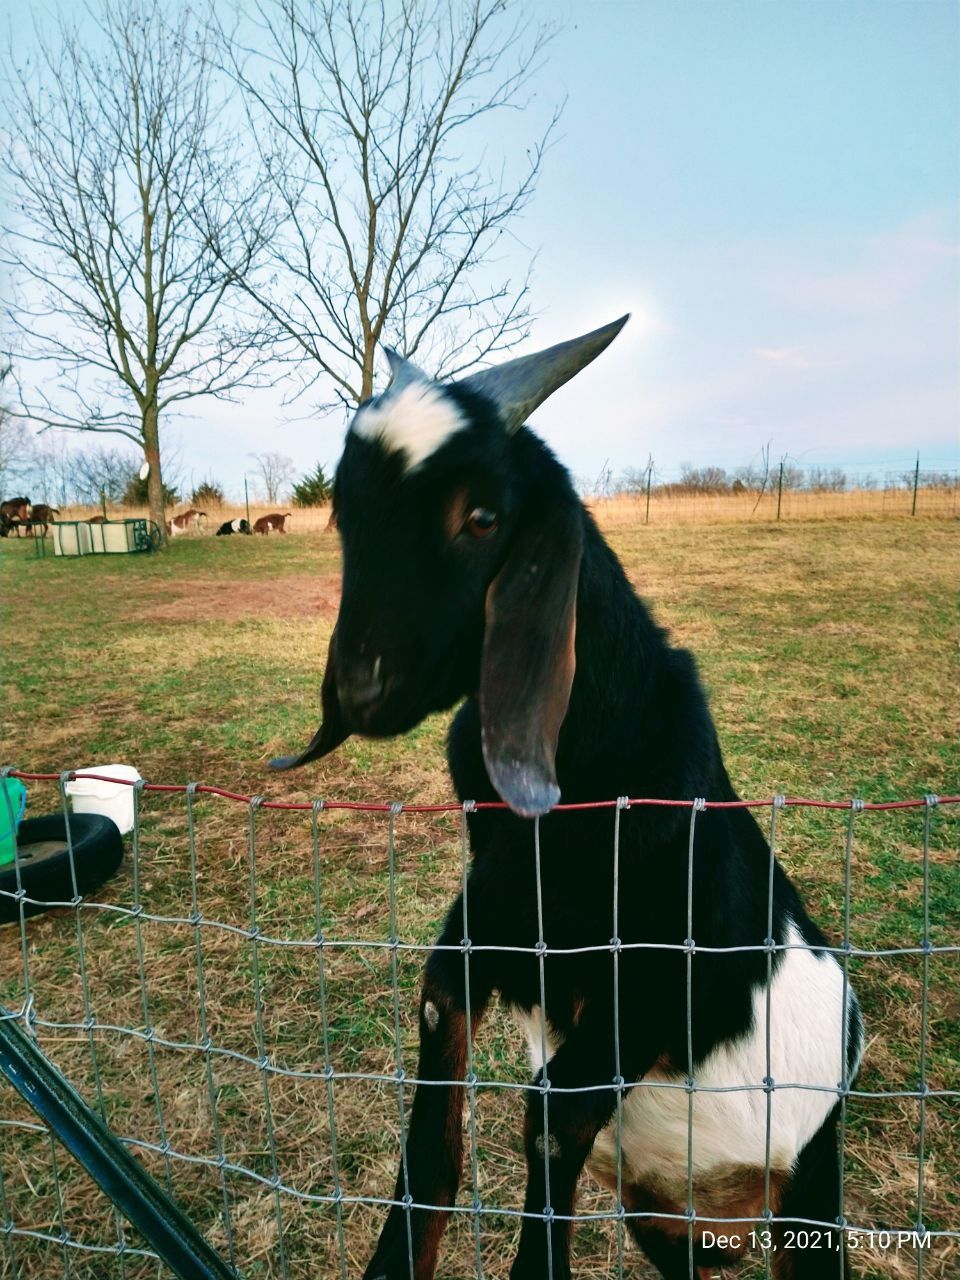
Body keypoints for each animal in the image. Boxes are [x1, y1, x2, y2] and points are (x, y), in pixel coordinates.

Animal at [272, 318, 863, 1280]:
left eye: (482, 517)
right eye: (344, 514)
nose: (360, 691)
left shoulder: (652, 992)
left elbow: (552, 1118)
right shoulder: (482, 935)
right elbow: (434, 1129)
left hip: (809, 1195)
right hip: (663, 1223)